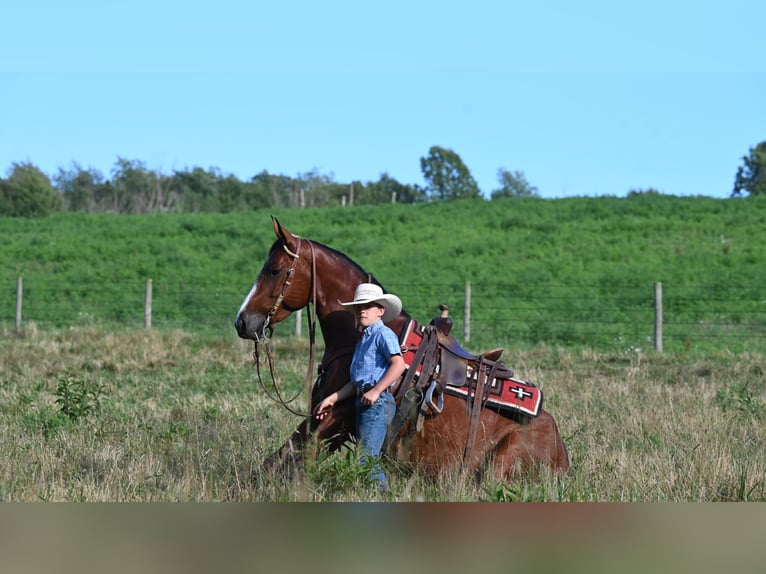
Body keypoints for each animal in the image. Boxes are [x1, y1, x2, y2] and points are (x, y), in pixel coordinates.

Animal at [234, 218, 568, 484]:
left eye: (274, 270)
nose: (242, 321)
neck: (355, 337)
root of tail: (563, 457)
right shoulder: (324, 417)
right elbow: (279, 460)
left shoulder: (338, 419)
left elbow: (298, 459)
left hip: (502, 460)